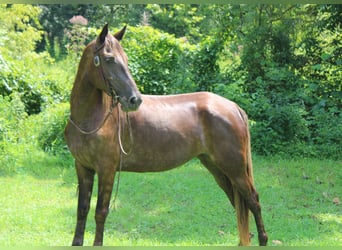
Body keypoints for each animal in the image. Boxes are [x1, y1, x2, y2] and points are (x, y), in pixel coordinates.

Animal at [63, 23, 268, 246]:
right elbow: (82, 209)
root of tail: (233, 107)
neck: (90, 119)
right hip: (218, 168)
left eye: (125, 59)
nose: (134, 100)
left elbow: (100, 212)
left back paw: (264, 239)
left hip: (235, 169)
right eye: (109, 59)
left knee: (253, 200)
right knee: (239, 203)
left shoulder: (106, 169)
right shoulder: (83, 167)